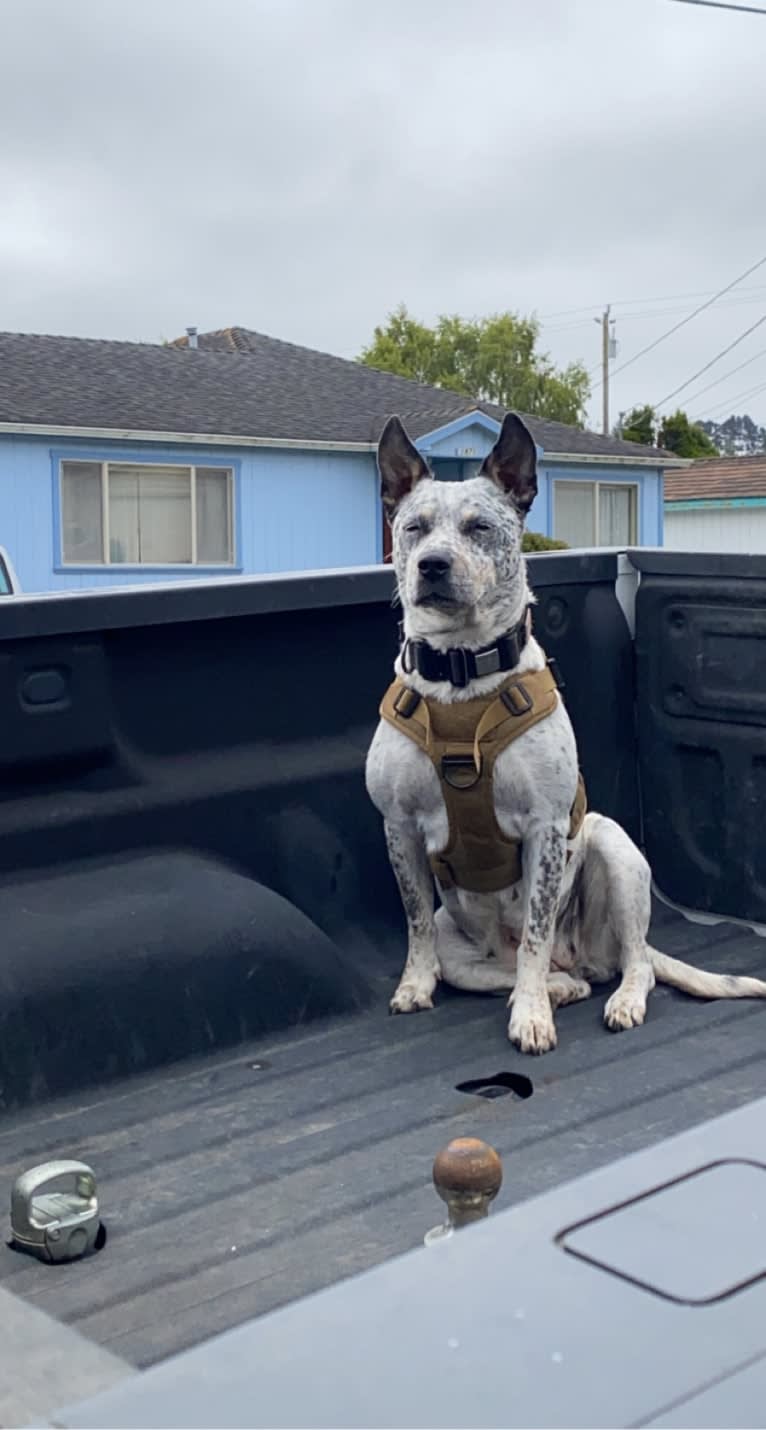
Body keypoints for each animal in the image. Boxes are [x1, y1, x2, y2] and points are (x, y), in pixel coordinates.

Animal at [364, 408, 766, 1058]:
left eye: (479, 527)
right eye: (413, 528)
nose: (433, 565)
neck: (461, 674)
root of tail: (582, 957)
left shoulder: (546, 829)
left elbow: (533, 933)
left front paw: (530, 1016)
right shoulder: (398, 828)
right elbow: (416, 920)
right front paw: (414, 985)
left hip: (614, 850)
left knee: (632, 964)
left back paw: (608, 996)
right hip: (465, 945)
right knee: (511, 971)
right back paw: (561, 987)